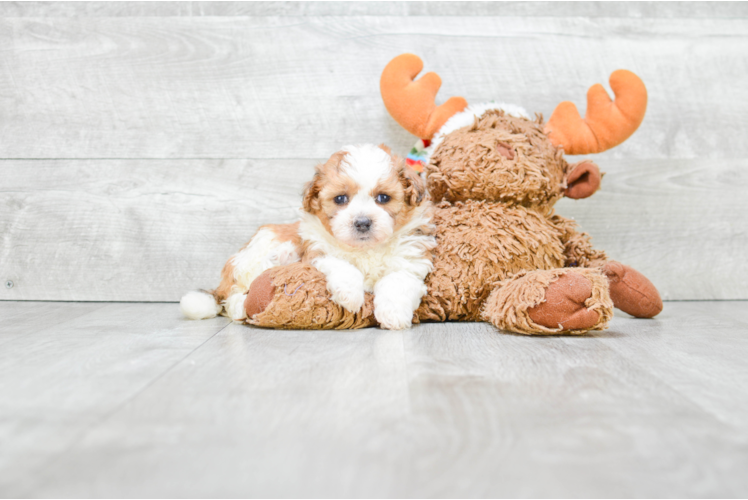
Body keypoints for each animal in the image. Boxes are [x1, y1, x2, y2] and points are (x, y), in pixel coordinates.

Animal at [181, 143, 436, 330]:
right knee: (235, 296)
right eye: (340, 199)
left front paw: (394, 314)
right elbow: (342, 266)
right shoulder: (317, 253)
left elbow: (398, 280)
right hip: (254, 256)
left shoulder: (411, 261)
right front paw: (351, 295)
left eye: (383, 198)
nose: (362, 222)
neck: (365, 249)